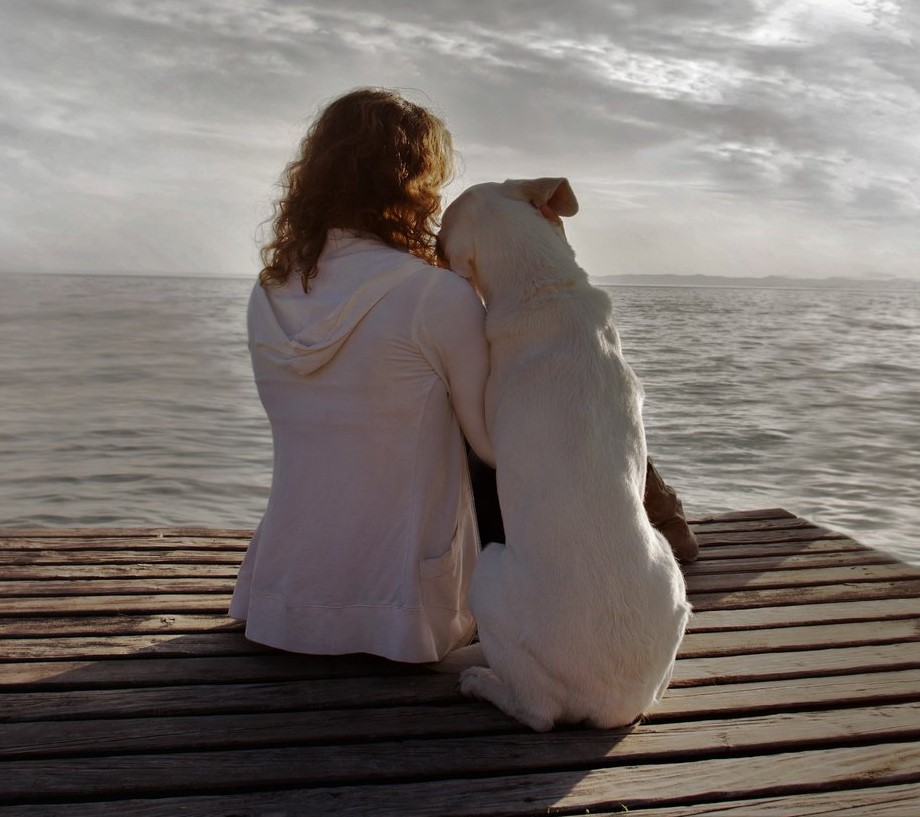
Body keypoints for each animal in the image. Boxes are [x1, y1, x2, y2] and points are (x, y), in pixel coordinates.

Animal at [438, 178, 688, 732]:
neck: (543, 285)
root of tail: (609, 705)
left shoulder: (488, 436)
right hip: (673, 579)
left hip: (488, 571)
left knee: (538, 712)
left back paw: (482, 683)